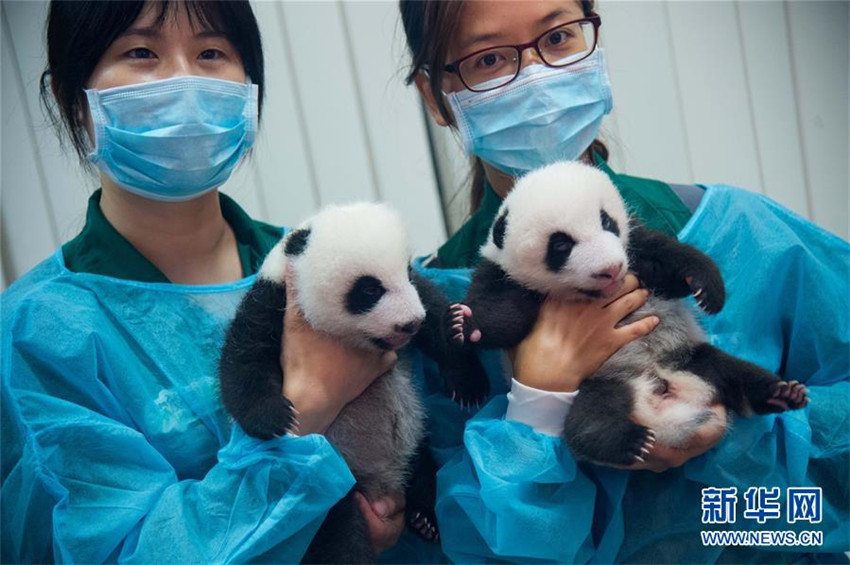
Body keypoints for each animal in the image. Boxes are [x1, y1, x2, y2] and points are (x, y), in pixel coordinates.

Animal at [219, 202, 487, 563]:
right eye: (370, 290)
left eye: (406, 272)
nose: (410, 323)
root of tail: (383, 483)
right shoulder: (275, 299)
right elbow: (244, 358)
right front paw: (273, 417)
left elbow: (433, 310)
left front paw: (464, 365)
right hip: (333, 479)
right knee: (337, 529)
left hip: (413, 438)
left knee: (423, 468)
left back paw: (426, 518)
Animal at [446, 161, 809, 467]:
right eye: (561, 245)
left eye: (606, 221)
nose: (610, 269)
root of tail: (662, 392)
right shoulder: (503, 273)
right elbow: (505, 315)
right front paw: (466, 324)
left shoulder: (634, 248)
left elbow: (670, 264)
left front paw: (707, 288)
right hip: (600, 381)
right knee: (591, 417)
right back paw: (628, 441)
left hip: (690, 357)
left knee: (735, 372)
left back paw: (781, 394)